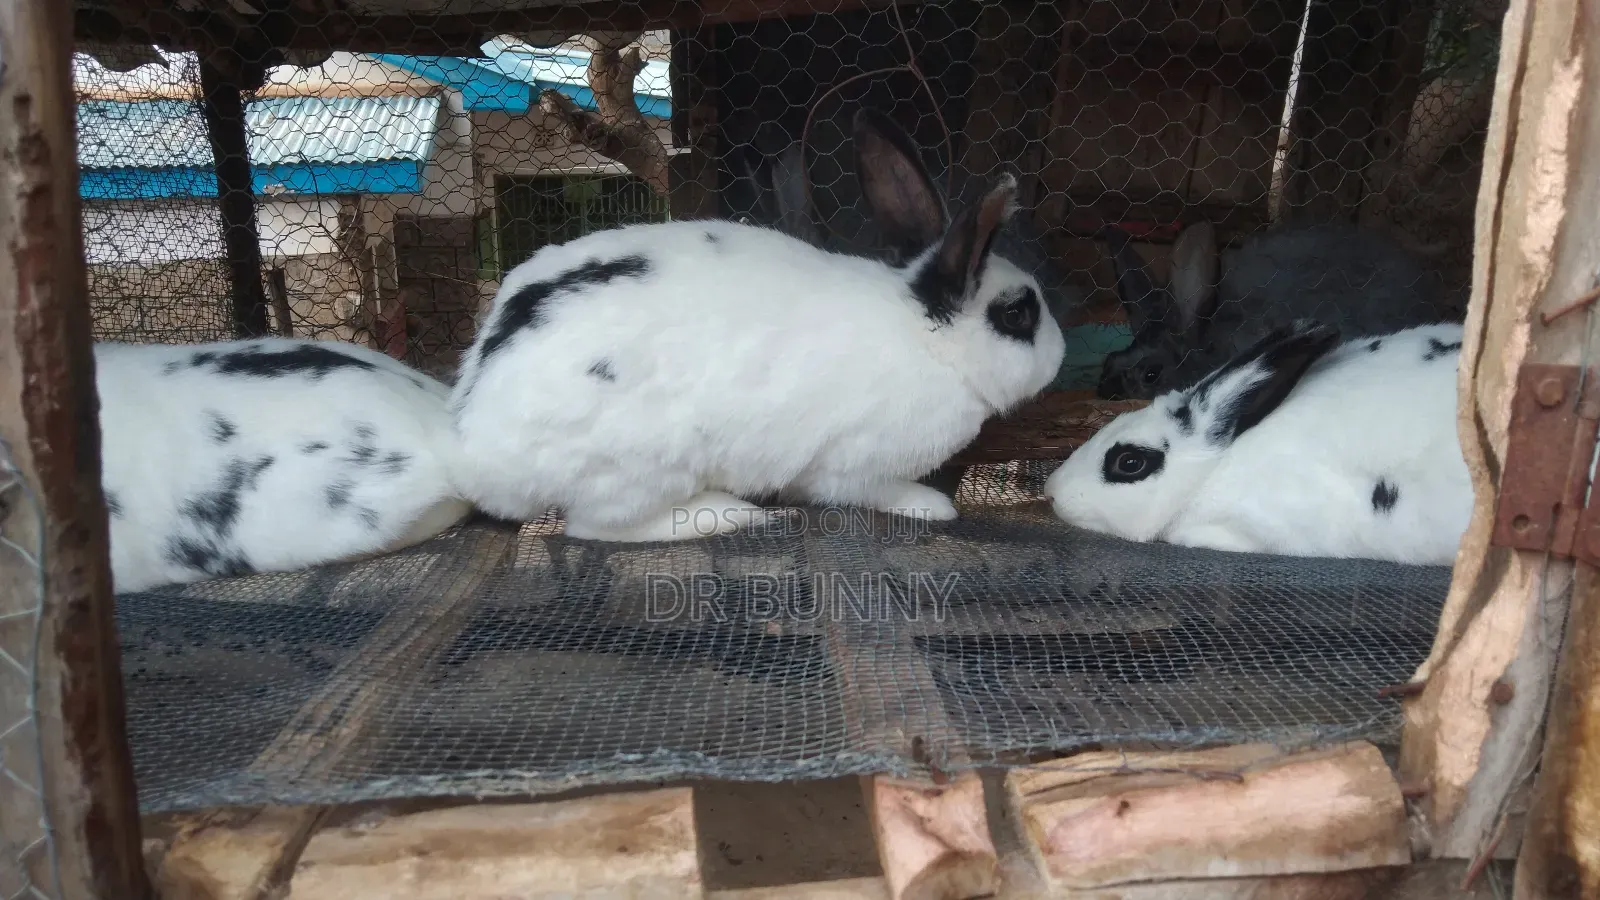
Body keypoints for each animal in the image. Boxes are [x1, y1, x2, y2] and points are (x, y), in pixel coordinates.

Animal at [448, 107, 1067, 543]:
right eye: (1017, 313)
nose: (1060, 355)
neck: (928, 336)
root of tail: (472, 451)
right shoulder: (852, 465)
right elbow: (875, 491)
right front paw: (933, 506)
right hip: (641, 468)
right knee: (595, 525)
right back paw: (730, 516)